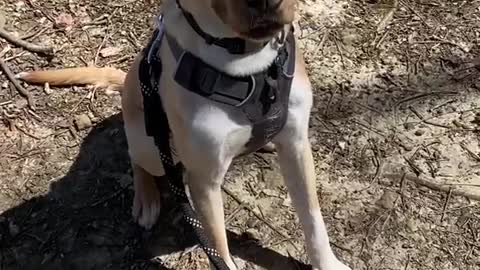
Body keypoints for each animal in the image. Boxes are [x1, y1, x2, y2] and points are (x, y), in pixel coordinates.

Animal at [16, 0, 350, 270]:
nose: (264, 0)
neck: (247, 64)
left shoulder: (296, 144)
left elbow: (313, 219)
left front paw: (328, 263)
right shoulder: (205, 181)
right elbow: (219, 248)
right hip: (150, 144)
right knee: (138, 159)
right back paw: (147, 199)